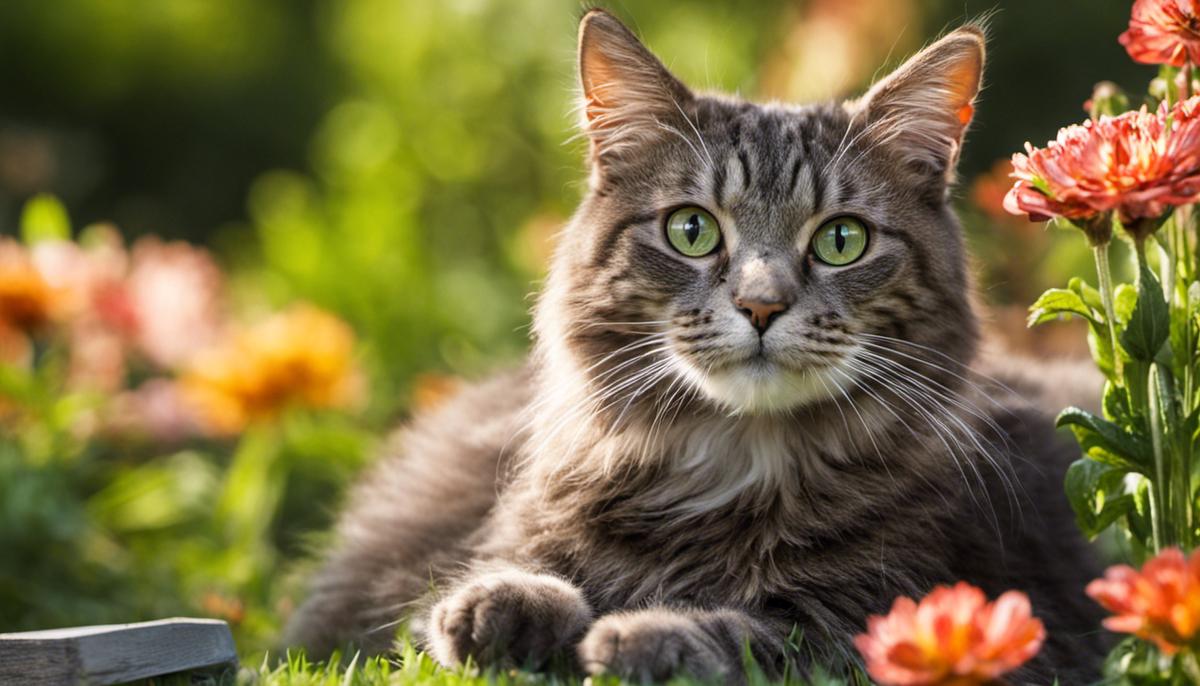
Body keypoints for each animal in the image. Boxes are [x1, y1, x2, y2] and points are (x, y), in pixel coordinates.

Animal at [285, 8, 1108, 681]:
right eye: (692, 230)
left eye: (841, 241)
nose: (761, 303)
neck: (731, 459)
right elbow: (503, 580)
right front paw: (505, 606)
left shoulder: (909, 615)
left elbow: (757, 635)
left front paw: (640, 635)